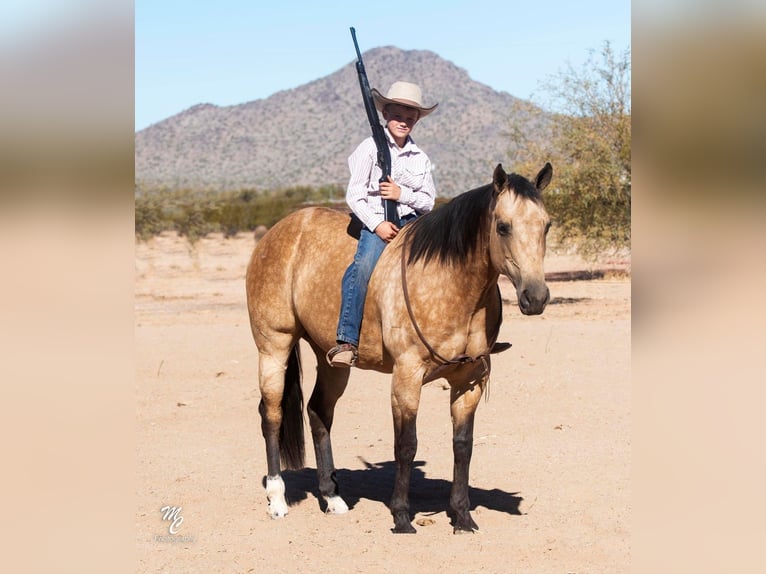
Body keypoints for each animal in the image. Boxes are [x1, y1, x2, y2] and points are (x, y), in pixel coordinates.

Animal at [246, 162, 552, 536]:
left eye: (546, 225)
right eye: (503, 226)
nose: (535, 297)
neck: (451, 283)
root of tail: (279, 231)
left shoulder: (470, 380)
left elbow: (463, 446)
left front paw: (462, 516)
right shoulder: (407, 376)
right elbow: (406, 445)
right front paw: (402, 516)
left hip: (331, 361)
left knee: (319, 412)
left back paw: (332, 497)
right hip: (274, 347)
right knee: (271, 416)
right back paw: (277, 499)